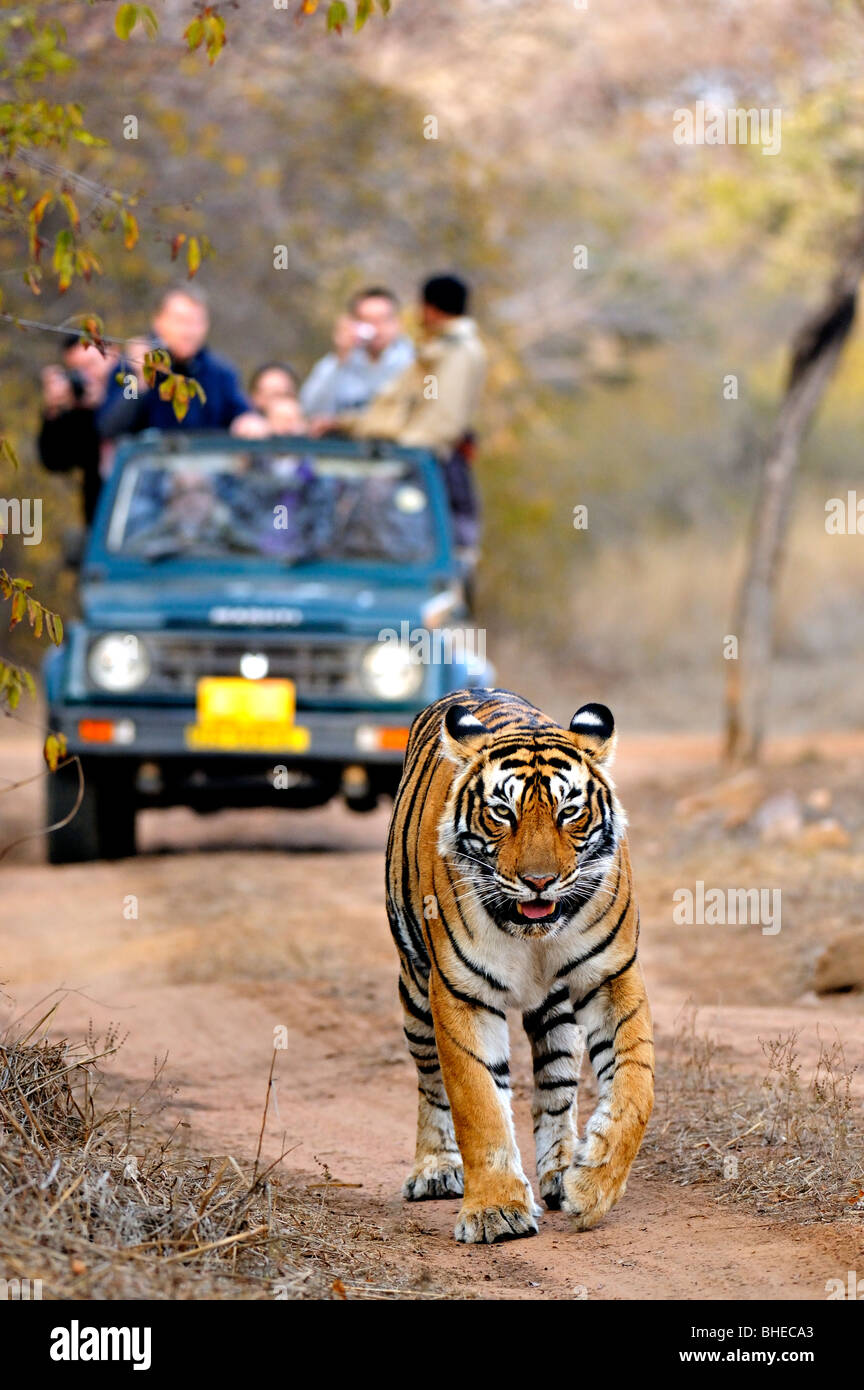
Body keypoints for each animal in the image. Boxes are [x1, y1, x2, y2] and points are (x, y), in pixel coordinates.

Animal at [388, 689, 655, 1245]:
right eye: (502, 813)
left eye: (569, 812)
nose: (538, 881)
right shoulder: (460, 992)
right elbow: (478, 1102)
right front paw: (495, 1210)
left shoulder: (610, 976)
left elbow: (636, 1087)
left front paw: (591, 1188)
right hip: (415, 989)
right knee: (429, 1081)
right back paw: (435, 1169)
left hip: (557, 1007)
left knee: (556, 1086)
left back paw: (560, 1171)